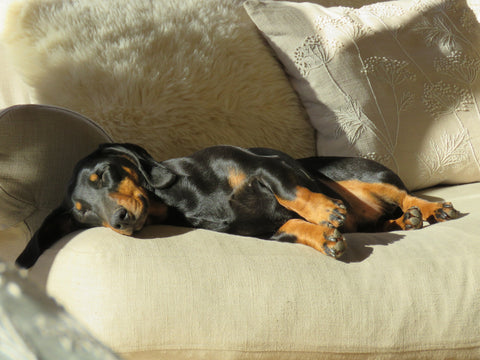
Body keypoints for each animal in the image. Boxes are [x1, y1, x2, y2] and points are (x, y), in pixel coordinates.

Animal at [16, 143, 462, 268]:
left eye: (103, 175)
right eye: (82, 212)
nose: (120, 220)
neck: (181, 198)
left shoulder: (265, 166)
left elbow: (292, 193)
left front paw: (325, 214)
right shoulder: (263, 230)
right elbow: (294, 226)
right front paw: (326, 238)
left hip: (353, 173)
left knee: (403, 194)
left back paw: (430, 208)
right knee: (389, 217)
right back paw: (407, 220)